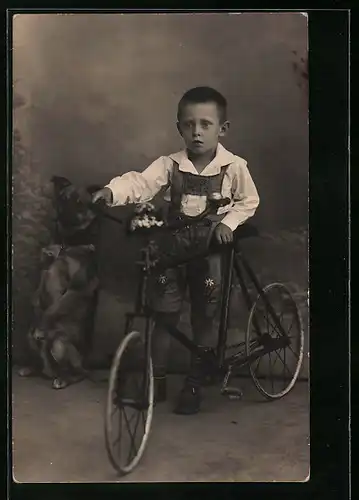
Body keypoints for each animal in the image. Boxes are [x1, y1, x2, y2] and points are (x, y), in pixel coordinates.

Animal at [19, 178, 102, 388]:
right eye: (63, 198)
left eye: (80, 202)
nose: (61, 215)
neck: (67, 244)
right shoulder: (44, 271)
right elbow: (37, 296)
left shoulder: (76, 289)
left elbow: (53, 309)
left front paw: (43, 323)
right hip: (29, 339)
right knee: (39, 359)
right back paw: (32, 368)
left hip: (60, 345)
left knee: (75, 372)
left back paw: (63, 378)